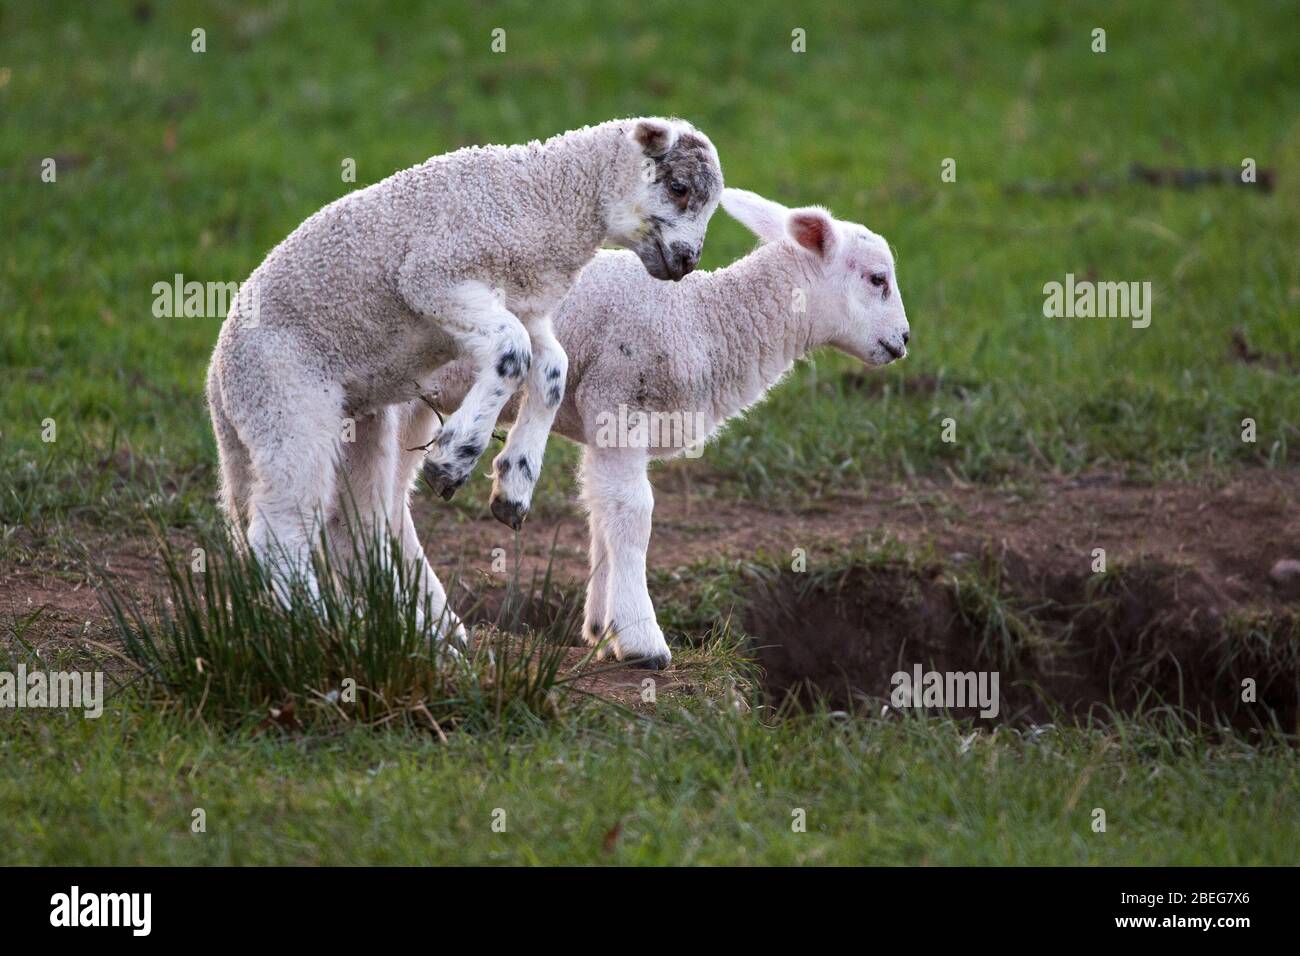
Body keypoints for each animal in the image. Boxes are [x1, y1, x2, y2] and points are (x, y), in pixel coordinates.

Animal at [208, 119, 728, 642]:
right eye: (679, 188)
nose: (688, 261)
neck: (545, 198)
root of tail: (217, 381)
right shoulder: (434, 277)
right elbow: (513, 354)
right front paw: (453, 457)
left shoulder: (524, 306)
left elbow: (551, 369)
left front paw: (514, 485)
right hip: (287, 405)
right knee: (279, 531)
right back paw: (321, 628)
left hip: (349, 426)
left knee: (345, 523)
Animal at [421, 184, 909, 665]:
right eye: (877, 279)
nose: (904, 340)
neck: (701, 320)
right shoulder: (617, 398)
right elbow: (632, 513)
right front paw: (641, 639)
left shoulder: (600, 418)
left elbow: (601, 514)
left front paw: (602, 629)